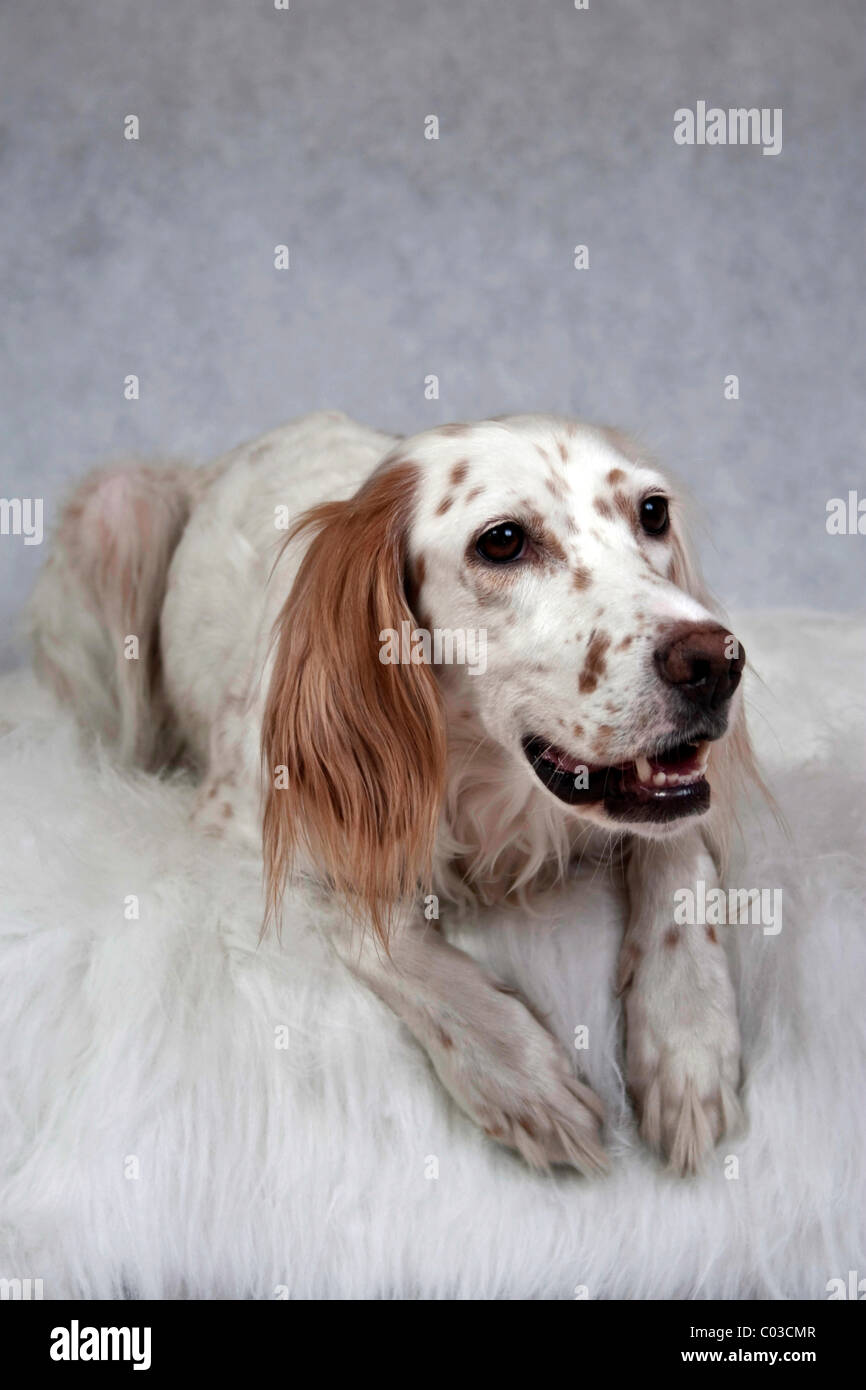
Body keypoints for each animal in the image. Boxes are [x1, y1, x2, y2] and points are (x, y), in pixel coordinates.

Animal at [27, 408, 761, 1173]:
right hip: (117, 506)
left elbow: (680, 856)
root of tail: (215, 466)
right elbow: (374, 928)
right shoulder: (238, 828)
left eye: (653, 512)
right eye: (503, 541)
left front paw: (688, 1044)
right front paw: (517, 1072)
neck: (480, 777)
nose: (716, 663)